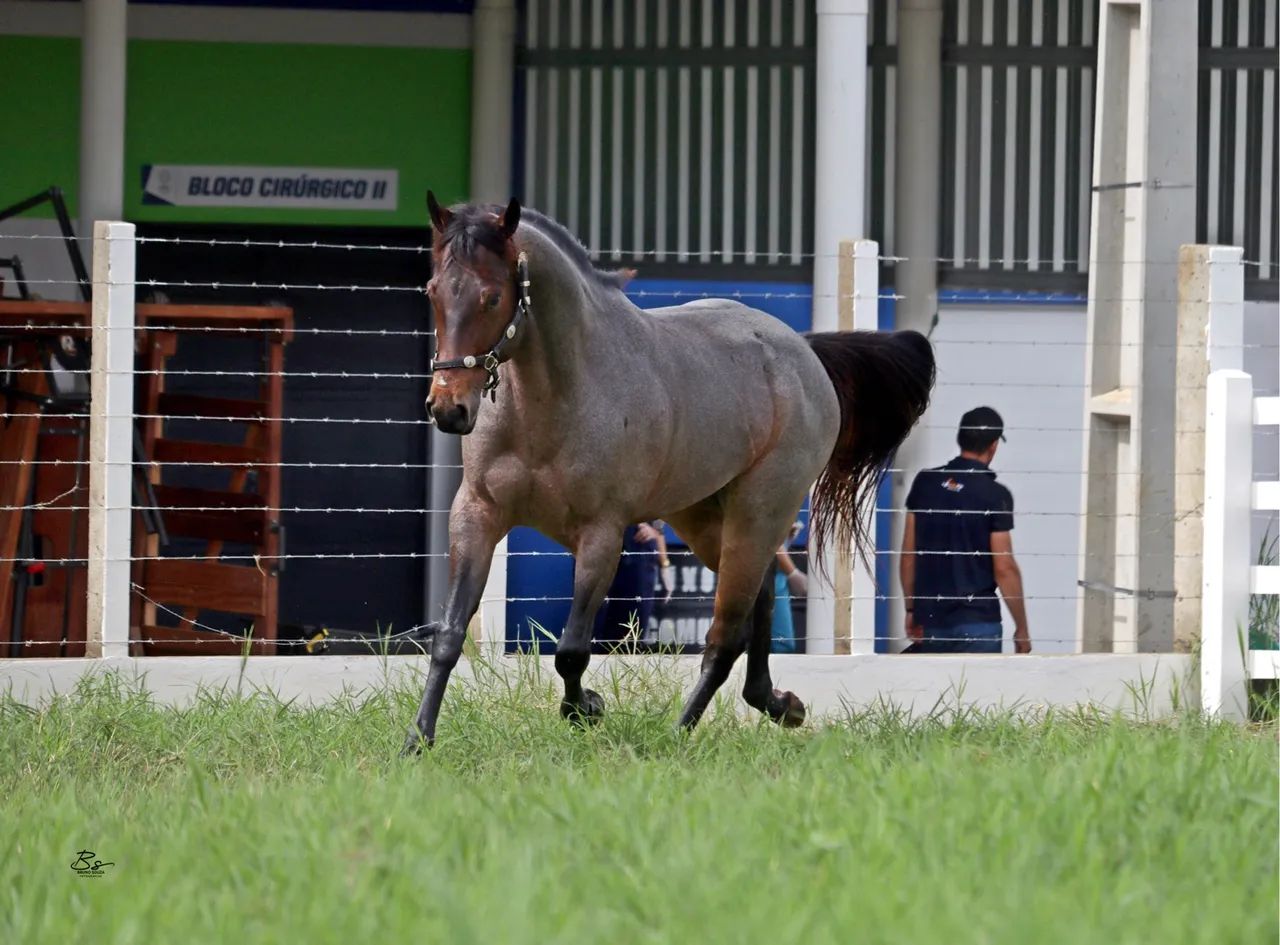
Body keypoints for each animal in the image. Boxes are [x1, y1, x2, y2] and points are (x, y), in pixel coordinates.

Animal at [403, 192, 934, 754]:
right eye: (433, 291)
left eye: (491, 297)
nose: (448, 408)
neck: (551, 401)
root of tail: (804, 352)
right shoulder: (478, 515)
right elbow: (449, 635)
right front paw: (417, 740)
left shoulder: (602, 535)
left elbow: (571, 649)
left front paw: (587, 708)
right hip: (702, 517)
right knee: (761, 599)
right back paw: (776, 703)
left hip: (761, 509)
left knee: (725, 635)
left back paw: (681, 735)